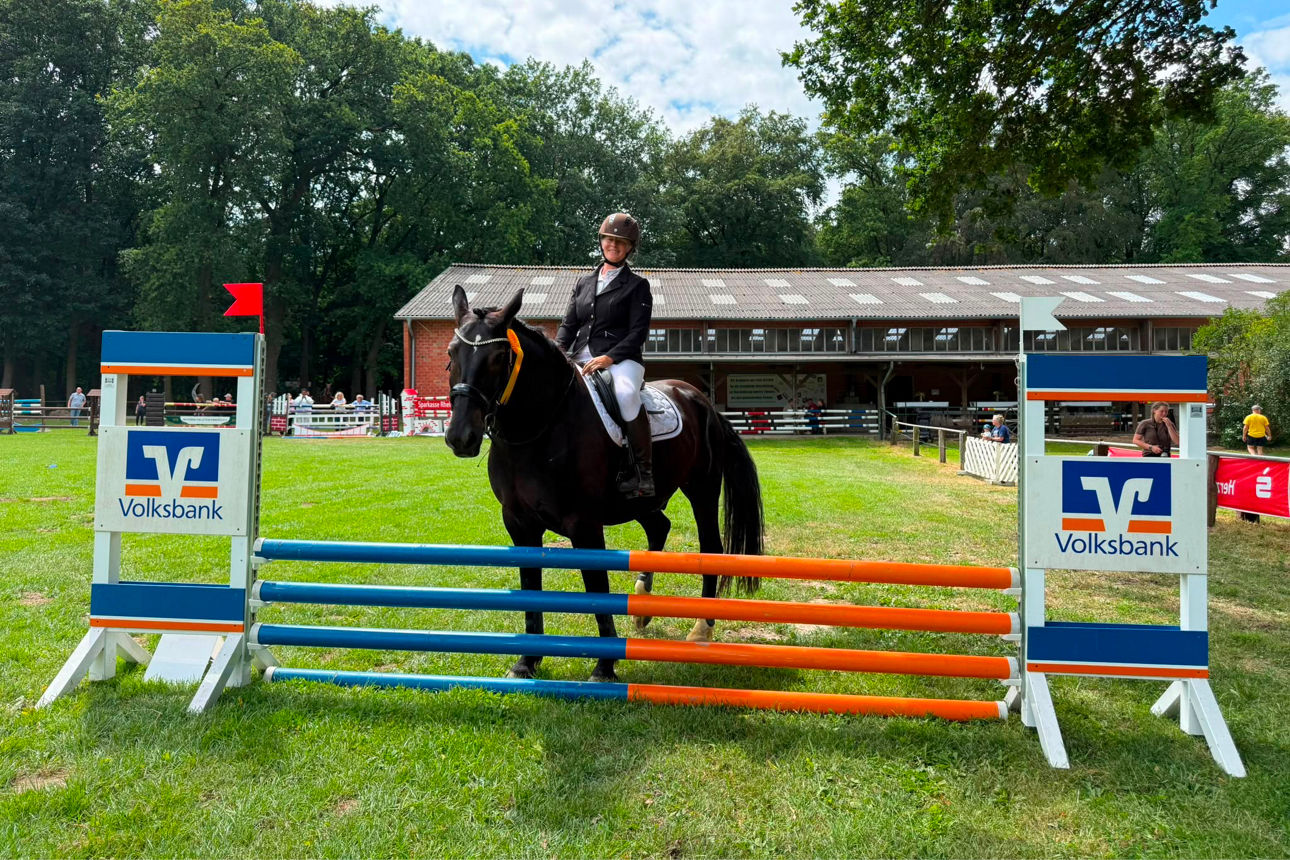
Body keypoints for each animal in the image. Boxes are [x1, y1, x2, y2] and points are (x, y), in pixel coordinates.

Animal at [444, 285, 765, 682]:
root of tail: (700, 399)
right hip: (643, 499)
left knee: (710, 549)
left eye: (498, 357)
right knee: (659, 526)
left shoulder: (584, 525)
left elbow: (597, 587)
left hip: (702, 490)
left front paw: (604, 666)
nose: (461, 437)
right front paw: (526, 662)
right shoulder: (519, 524)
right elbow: (531, 587)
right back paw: (642, 603)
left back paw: (702, 628)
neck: (540, 428)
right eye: (451, 353)